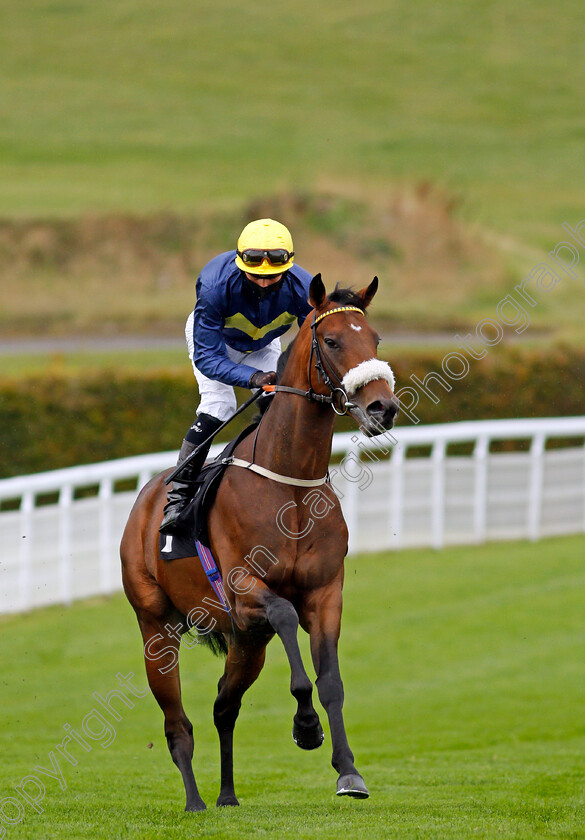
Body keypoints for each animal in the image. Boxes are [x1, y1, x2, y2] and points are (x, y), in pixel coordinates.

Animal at [121, 274, 400, 808]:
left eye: (375, 340)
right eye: (332, 341)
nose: (383, 407)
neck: (289, 484)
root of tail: (146, 497)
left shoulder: (325, 593)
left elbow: (330, 681)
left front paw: (348, 772)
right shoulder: (244, 588)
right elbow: (287, 616)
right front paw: (306, 727)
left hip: (246, 641)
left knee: (223, 705)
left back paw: (227, 795)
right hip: (157, 628)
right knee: (177, 722)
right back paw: (195, 800)